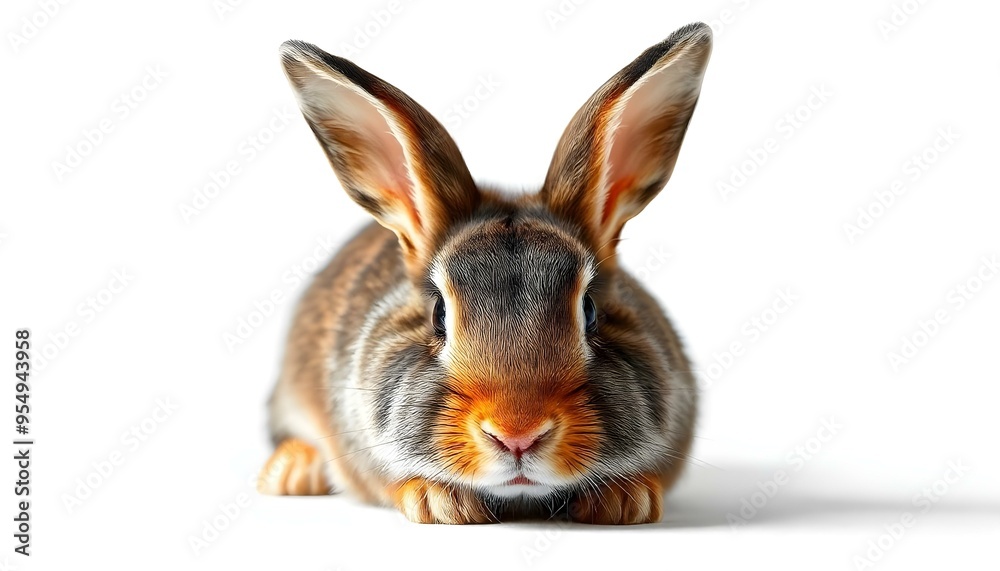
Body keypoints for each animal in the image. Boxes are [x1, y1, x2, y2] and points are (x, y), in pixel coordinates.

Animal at [258, 22, 712, 525]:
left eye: (591, 311)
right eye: (438, 315)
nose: (518, 434)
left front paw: (626, 500)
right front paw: (437, 501)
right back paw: (291, 472)